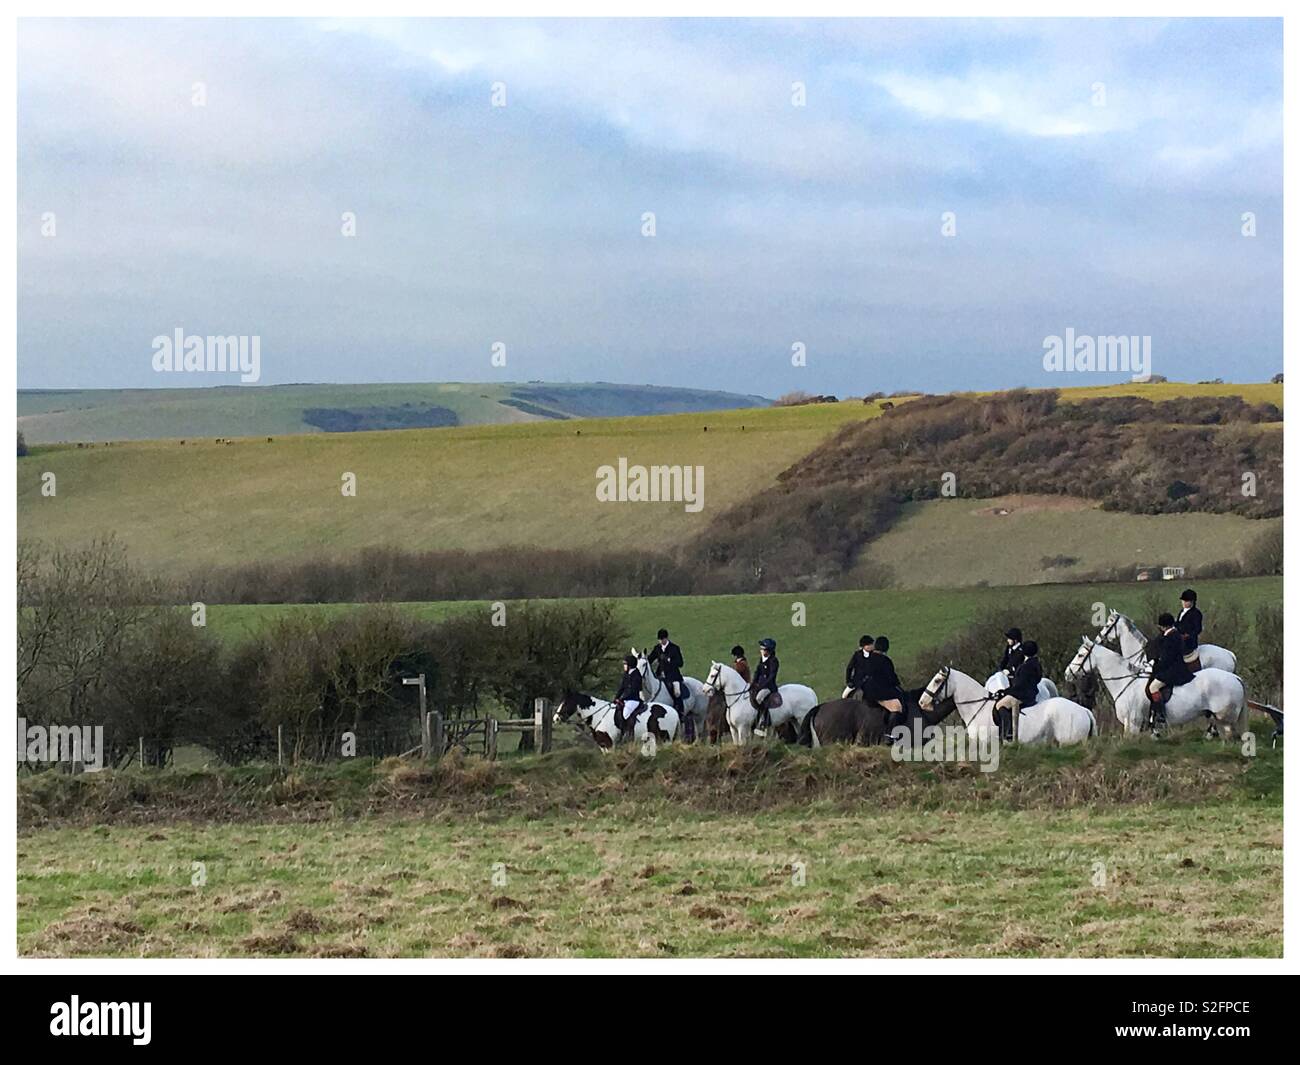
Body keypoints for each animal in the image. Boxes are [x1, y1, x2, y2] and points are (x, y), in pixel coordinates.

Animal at [551, 691, 681, 749]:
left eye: (565, 703)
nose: (555, 718)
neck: (599, 714)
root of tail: (675, 712)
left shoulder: (610, 744)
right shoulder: (603, 745)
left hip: (666, 739)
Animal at [1066, 631, 1248, 743]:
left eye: (1081, 655)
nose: (1067, 673)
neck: (1126, 682)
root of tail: (1235, 677)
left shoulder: (1133, 724)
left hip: (1225, 716)